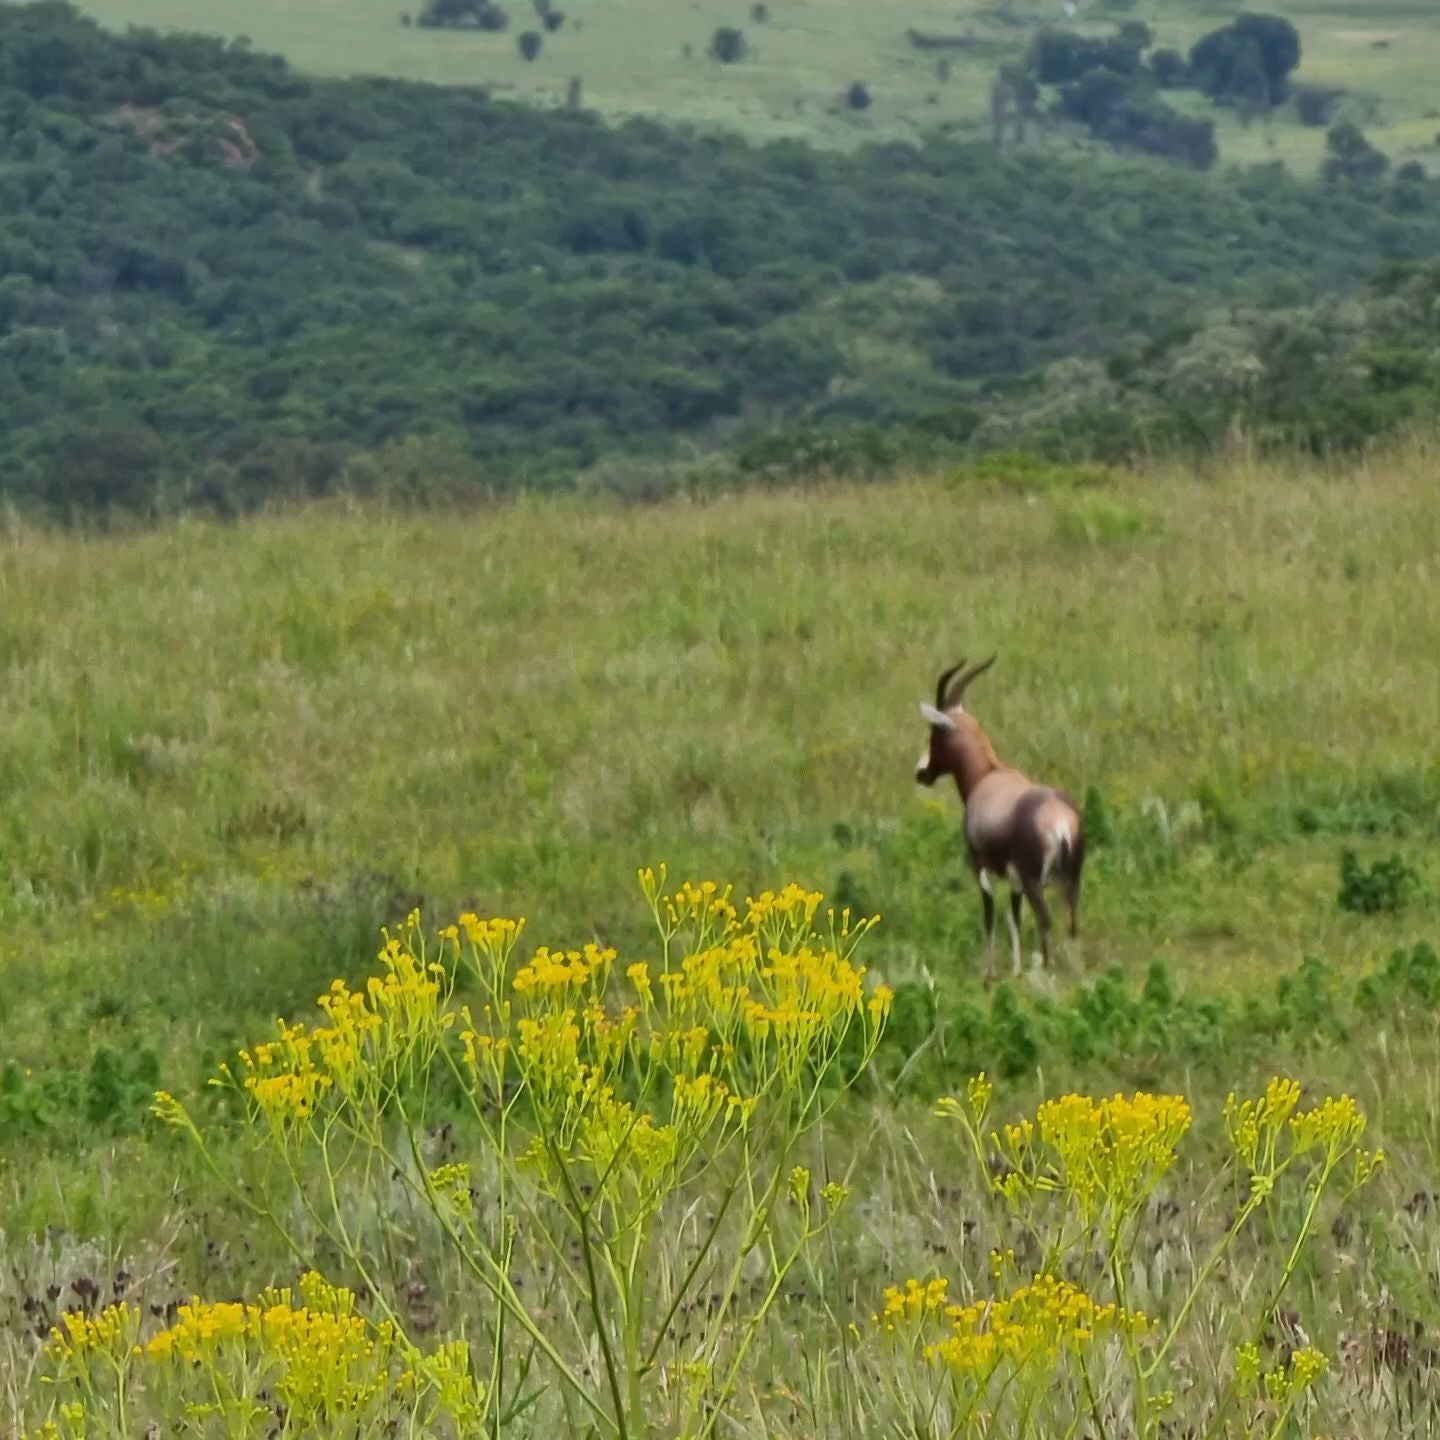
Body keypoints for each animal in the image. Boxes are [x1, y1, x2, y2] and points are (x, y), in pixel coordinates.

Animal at [915, 656, 1082, 979]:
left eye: (934, 732)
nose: (921, 772)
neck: (988, 775)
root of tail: (1060, 823)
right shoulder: (1014, 878)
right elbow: (1014, 917)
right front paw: (1015, 970)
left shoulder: (981, 866)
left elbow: (990, 914)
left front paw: (989, 972)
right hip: (1071, 881)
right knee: (1071, 924)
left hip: (1035, 883)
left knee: (1045, 920)